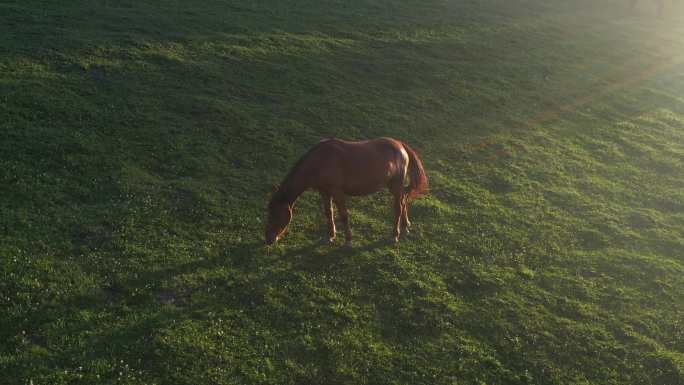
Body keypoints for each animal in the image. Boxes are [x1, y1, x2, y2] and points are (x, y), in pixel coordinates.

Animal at [264, 137, 428, 246]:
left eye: (274, 214)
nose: (268, 240)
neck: (319, 162)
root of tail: (400, 145)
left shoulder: (337, 192)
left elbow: (343, 215)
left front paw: (348, 240)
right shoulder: (324, 192)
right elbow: (328, 213)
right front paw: (330, 236)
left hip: (395, 185)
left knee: (398, 207)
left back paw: (395, 235)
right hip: (395, 186)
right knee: (404, 200)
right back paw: (405, 226)